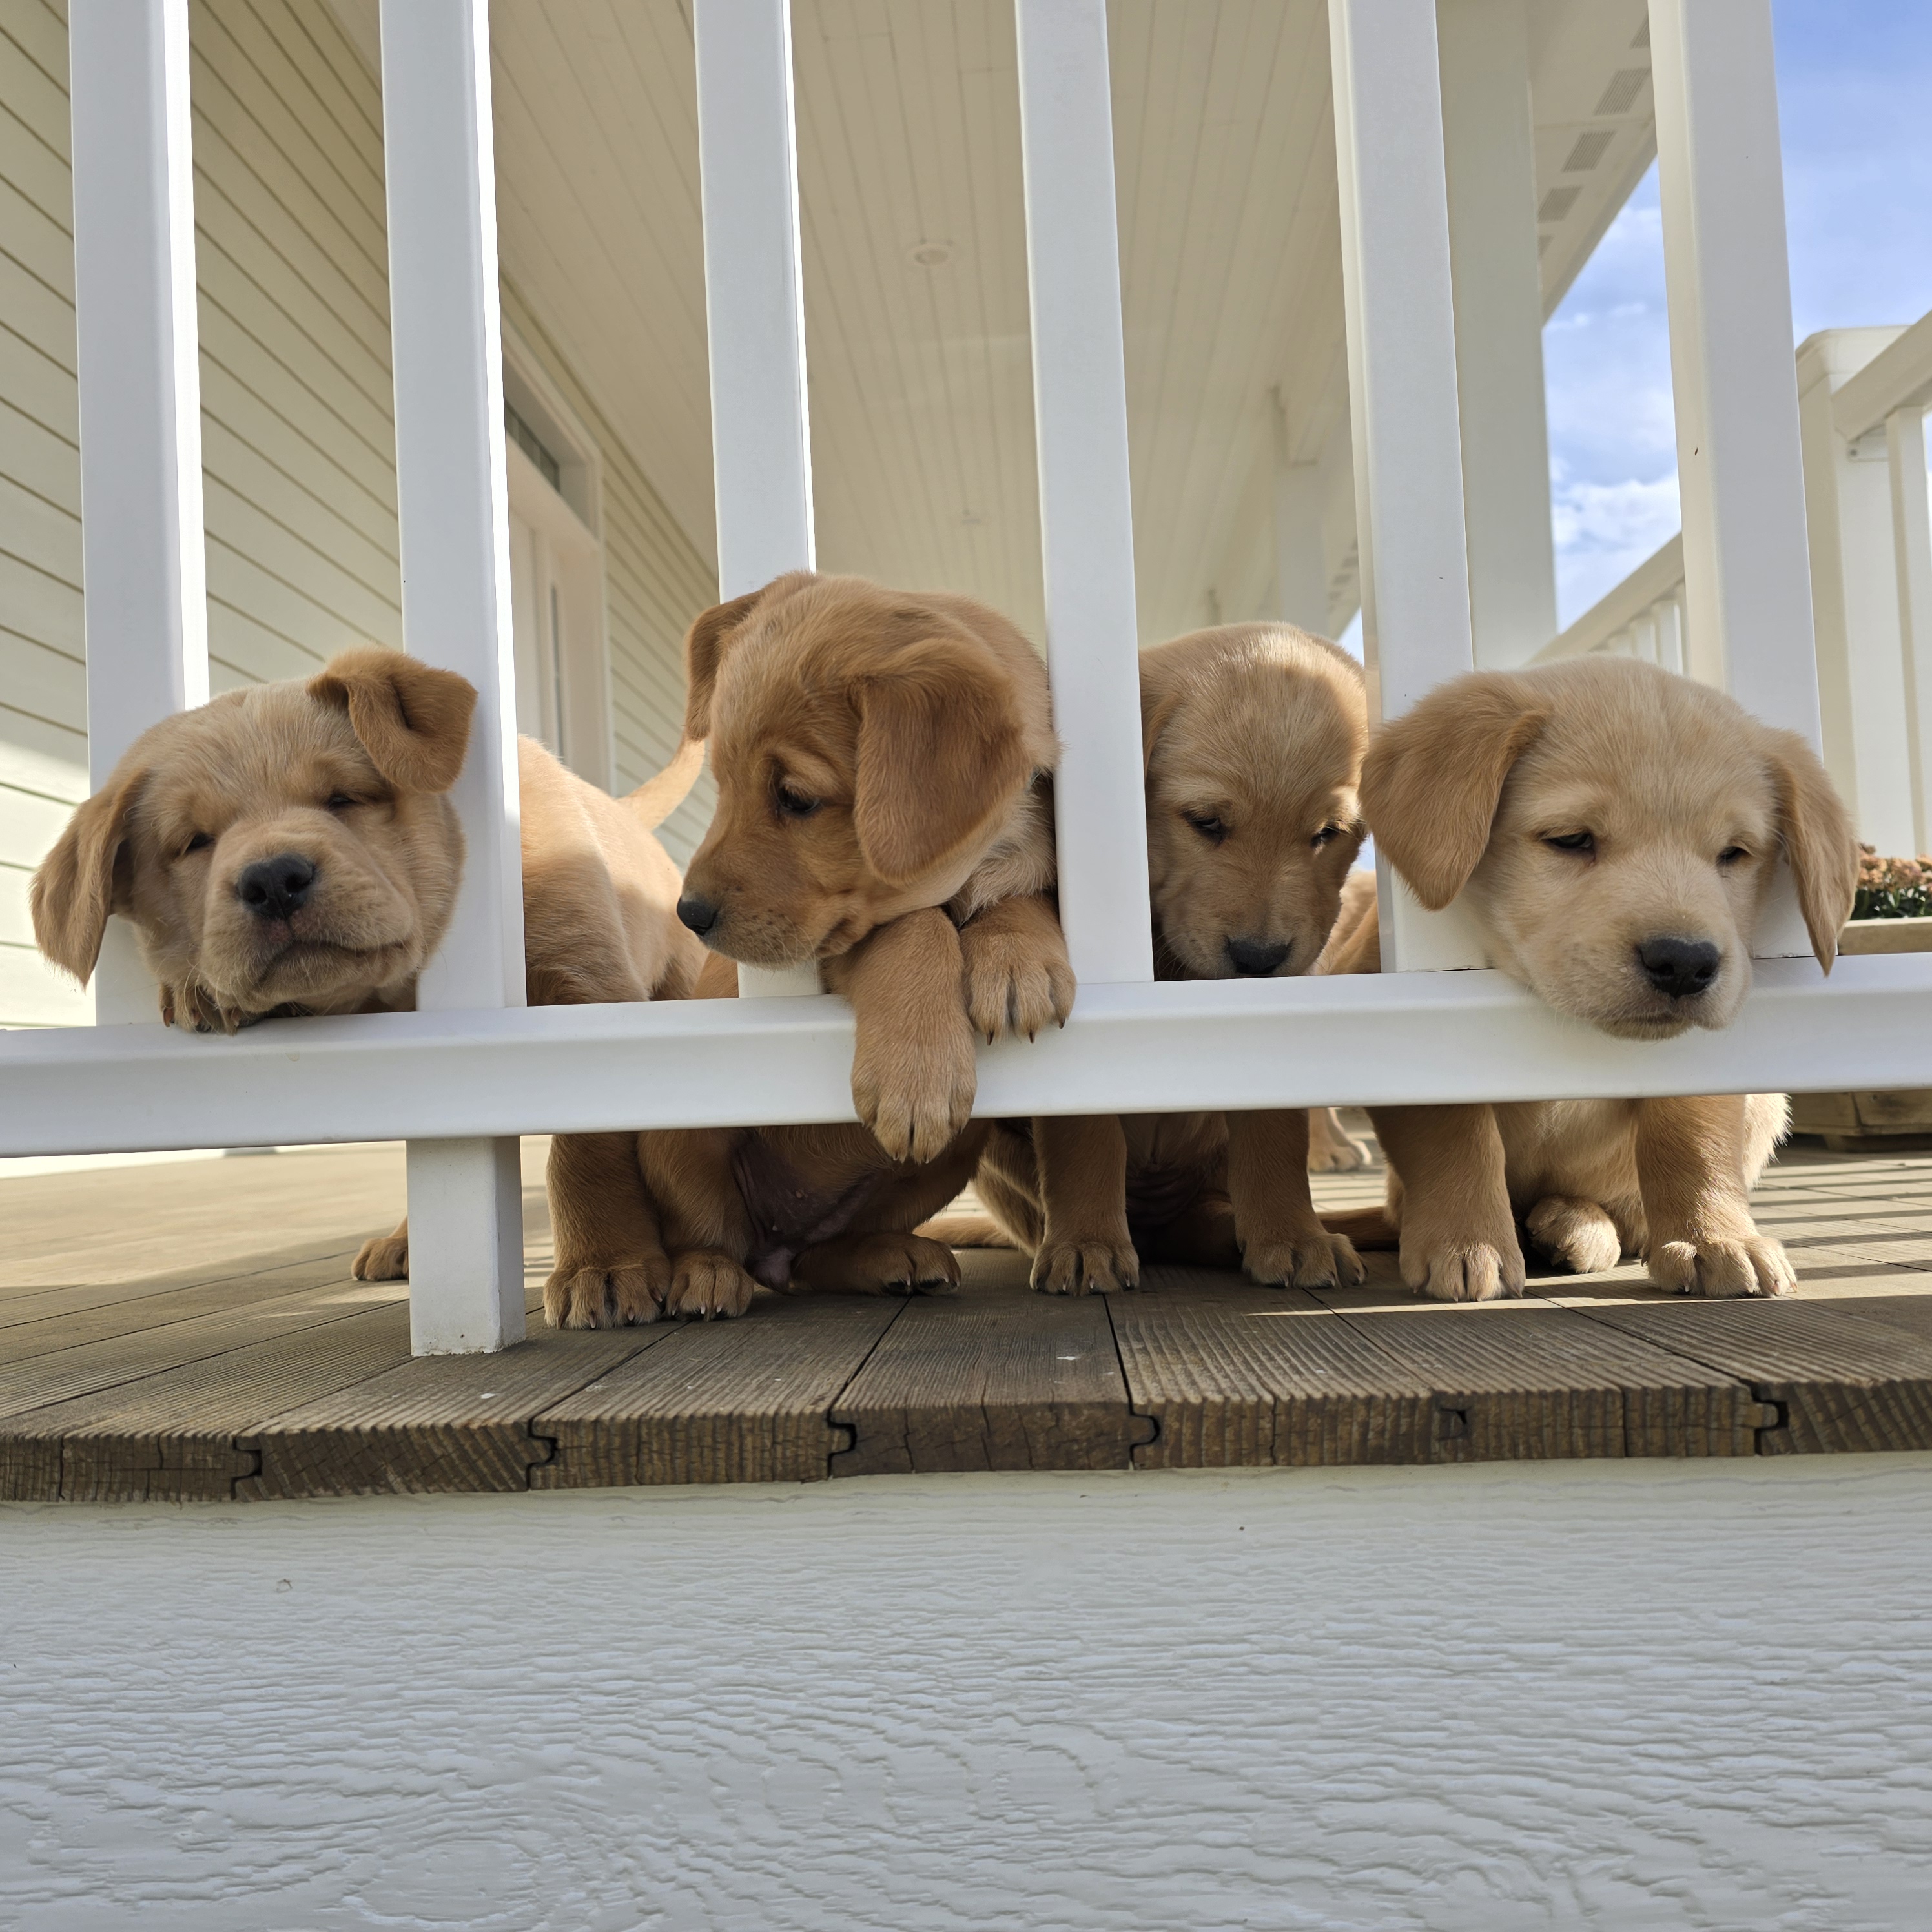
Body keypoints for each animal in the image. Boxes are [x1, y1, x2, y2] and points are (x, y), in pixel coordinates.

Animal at [28, 649, 711, 1329]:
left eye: (344, 797)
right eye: (194, 841)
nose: (273, 881)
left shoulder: (587, 989)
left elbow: (586, 1146)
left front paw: (607, 1265)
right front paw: (198, 989)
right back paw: (407, 1242)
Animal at [614, 568, 1074, 1329]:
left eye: (795, 798)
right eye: (722, 783)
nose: (689, 914)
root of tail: (774, 1238)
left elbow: (1021, 895)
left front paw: (1017, 960)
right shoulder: (813, 949)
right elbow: (912, 928)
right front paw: (917, 1073)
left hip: (947, 1161)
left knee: (812, 1261)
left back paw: (889, 1257)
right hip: (680, 1140)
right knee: (709, 1233)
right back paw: (705, 1275)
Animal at [951, 626, 1375, 1298]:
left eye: (1328, 833)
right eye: (1205, 822)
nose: (1258, 958)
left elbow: (1276, 1128)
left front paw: (1293, 1235)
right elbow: (1084, 1132)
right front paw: (1087, 1244)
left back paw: (1232, 1230)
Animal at [1313, 657, 1855, 1306]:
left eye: (1733, 853)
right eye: (1570, 840)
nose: (1684, 962)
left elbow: (1690, 1136)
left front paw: (1715, 1237)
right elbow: (1454, 1130)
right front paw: (1466, 1241)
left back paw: (1575, 1225)